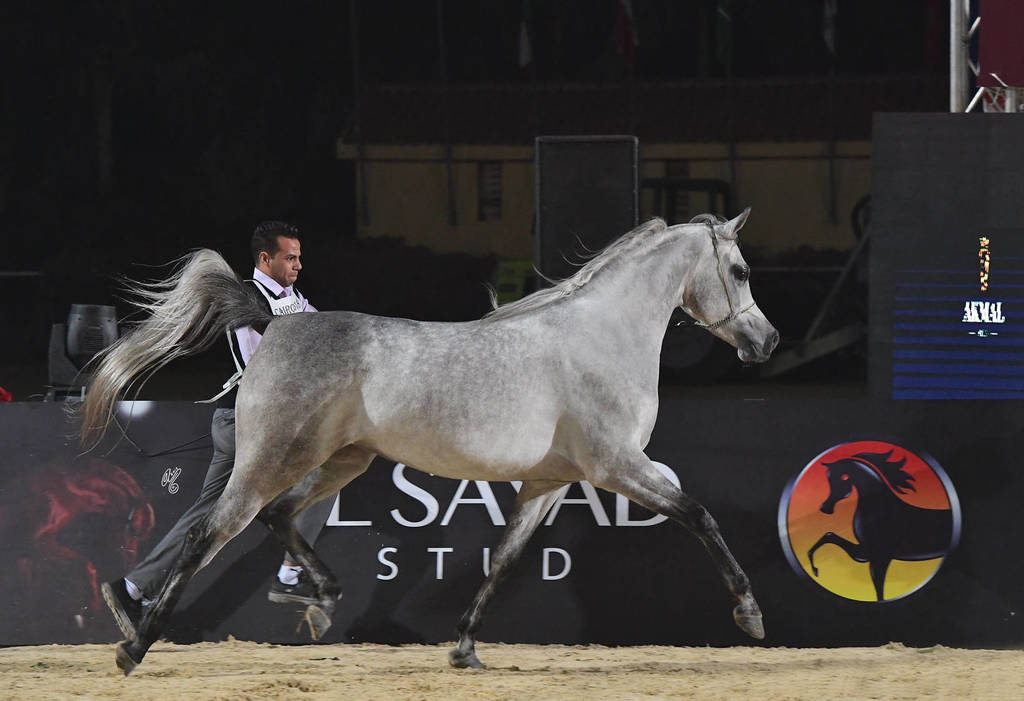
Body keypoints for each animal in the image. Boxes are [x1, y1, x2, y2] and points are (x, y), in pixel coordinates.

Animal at [77, 209, 779, 674]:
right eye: (741, 270)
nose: (766, 342)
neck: (600, 337)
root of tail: (274, 322)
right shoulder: (619, 467)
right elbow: (699, 514)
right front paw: (749, 613)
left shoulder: (549, 482)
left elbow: (505, 560)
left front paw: (464, 647)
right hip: (273, 459)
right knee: (207, 533)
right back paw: (133, 645)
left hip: (341, 460)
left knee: (278, 517)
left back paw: (321, 600)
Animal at [807, 450, 955, 601]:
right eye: (828, 479)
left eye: (843, 477)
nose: (825, 508)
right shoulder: (865, 552)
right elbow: (829, 535)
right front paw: (815, 570)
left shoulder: (880, 557)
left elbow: (879, 589)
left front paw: (815, 569)